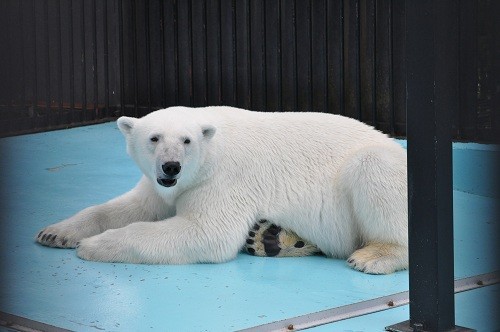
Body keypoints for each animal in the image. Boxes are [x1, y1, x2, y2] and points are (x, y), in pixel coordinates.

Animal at [37, 106, 408, 274]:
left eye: (186, 140)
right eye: (154, 137)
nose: (171, 167)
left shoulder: (222, 179)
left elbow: (207, 232)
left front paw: (94, 245)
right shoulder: (162, 187)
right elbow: (133, 206)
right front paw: (56, 233)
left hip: (382, 172)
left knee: (374, 170)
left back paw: (374, 256)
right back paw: (270, 238)